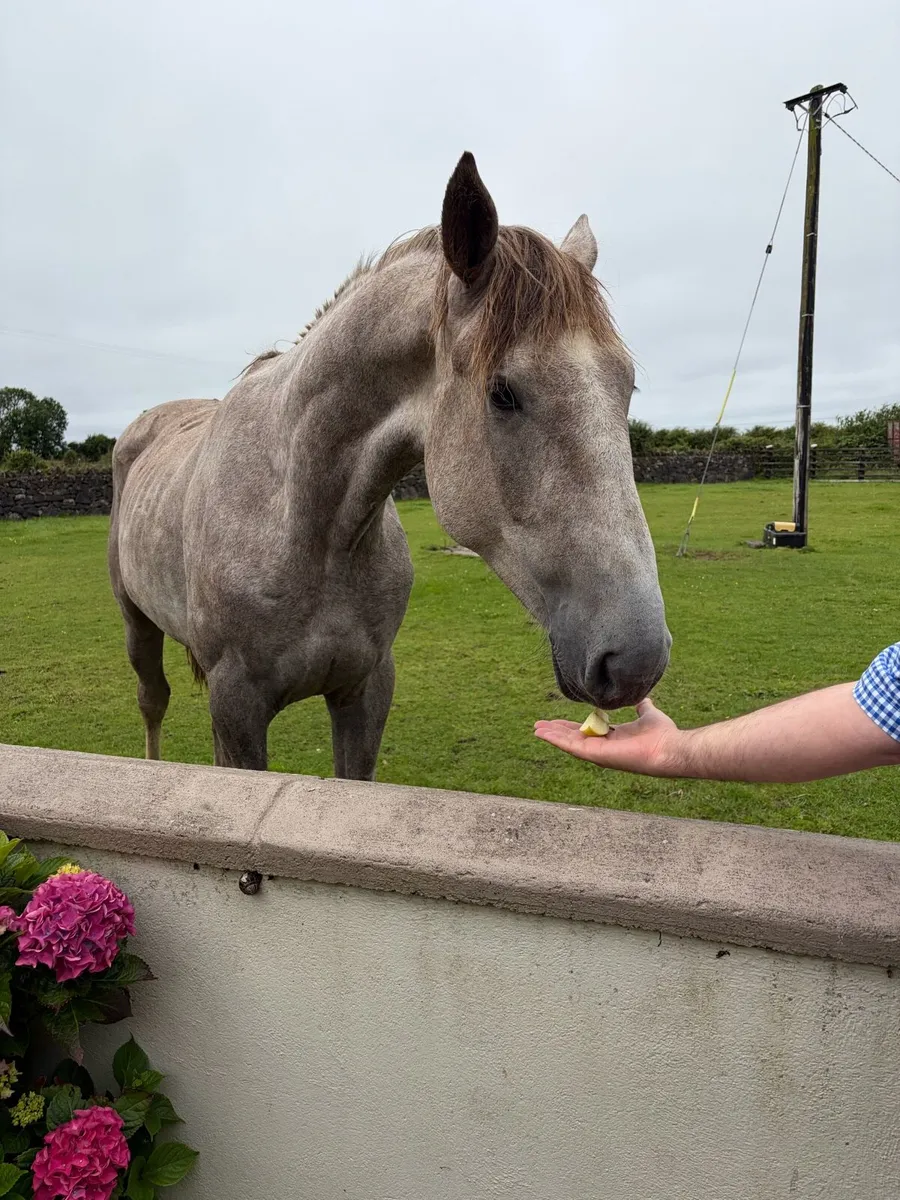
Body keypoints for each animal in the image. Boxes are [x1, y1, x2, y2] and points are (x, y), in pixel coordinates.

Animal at [109, 152, 670, 778]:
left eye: (626, 385)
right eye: (502, 393)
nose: (637, 659)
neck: (305, 523)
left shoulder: (366, 689)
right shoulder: (238, 705)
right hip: (136, 622)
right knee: (152, 701)